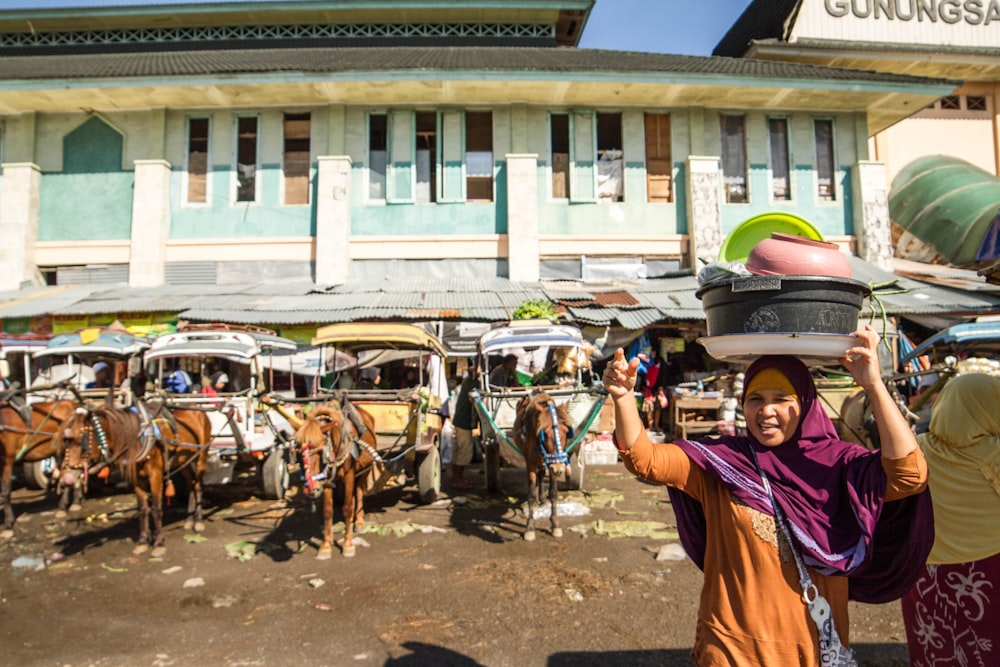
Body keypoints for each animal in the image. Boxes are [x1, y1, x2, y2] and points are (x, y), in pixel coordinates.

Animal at [0, 396, 77, 536]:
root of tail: (73, 403)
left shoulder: (7, 460)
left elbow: (5, 490)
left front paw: (8, 523)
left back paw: (67, 504)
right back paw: (73, 502)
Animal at [54, 402, 213, 560]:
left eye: (82, 442)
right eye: (66, 442)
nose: (67, 478)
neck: (140, 439)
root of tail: (199, 410)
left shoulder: (155, 475)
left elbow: (156, 509)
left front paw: (159, 543)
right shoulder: (137, 479)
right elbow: (143, 509)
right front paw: (142, 542)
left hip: (201, 457)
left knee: (198, 486)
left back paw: (198, 521)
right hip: (184, 462)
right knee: (191, 484)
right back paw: (189, 520)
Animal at [294, 402, 380, 560]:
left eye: (320, 451)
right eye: (298, 453)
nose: (312, 489)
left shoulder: (349, 474)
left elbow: (347, 509)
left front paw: (348, 544)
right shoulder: (327, 480)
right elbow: (328, 511)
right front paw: (326, 546)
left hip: (365, 468)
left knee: (358, 491)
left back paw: (358, 520)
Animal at [512, 392, 576, 544]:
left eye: (567, 432)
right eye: (544, 434)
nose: (559, 469)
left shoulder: (552, 466)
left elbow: (553, 493)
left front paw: (555, 524)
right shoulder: (531, 463)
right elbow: (530, 495)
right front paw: (530, 527)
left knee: (541, 474)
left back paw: (541, 497)